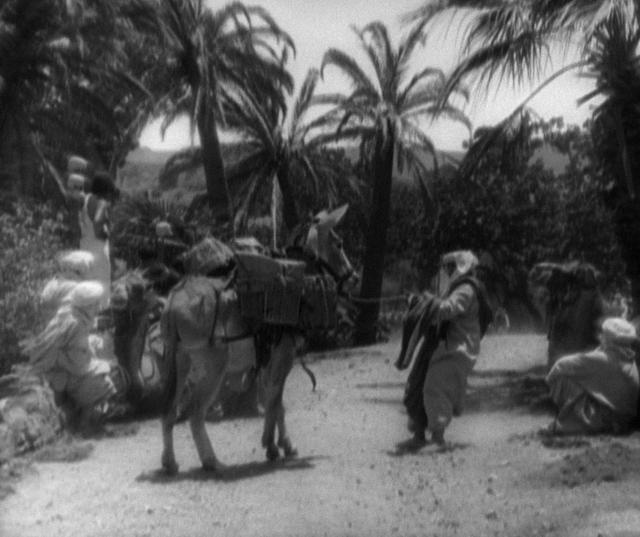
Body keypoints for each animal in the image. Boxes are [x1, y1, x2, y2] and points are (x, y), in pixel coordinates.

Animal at [159, 205, 356, 475]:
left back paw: (170, 462)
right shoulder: (284, 357)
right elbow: (275, 400)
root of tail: (174, 299)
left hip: (181, 362)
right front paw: (273, 446)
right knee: (194, 412)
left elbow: (274, 402)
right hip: (213, 367)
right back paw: (212, 461)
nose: (353, 277)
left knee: (169, 411)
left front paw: (282, 445)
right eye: (339, 244)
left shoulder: (267, 360)